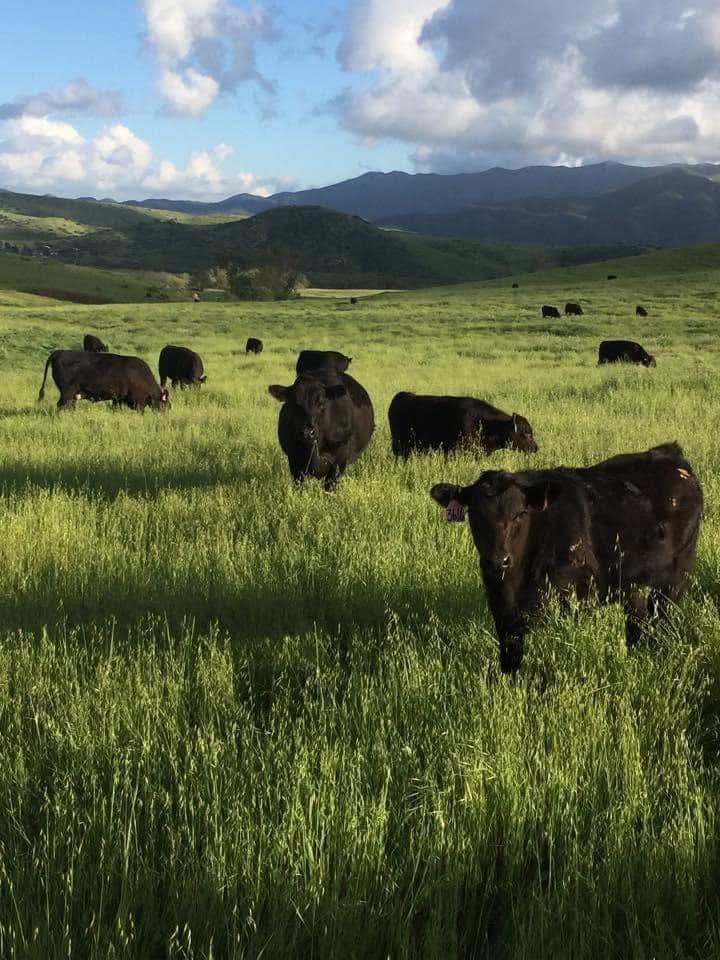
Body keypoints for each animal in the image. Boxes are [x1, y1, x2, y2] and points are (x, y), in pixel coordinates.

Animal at [38, 352, 170, 412]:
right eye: (165, 405)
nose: (163, 416)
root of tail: (59, 352)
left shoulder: (117, 398)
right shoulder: (138, 400)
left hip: (71, 395)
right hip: (67, 393)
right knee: (61, 405)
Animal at [430, 444, 700, 676]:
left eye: (520, 514)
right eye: (474, 514)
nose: (498, 560)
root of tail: (671, 453)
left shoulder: (578, 595)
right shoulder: (500, 603)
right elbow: (511, 652)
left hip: (676, 577)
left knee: (661, 616)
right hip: (629, 583)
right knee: (638, 618)